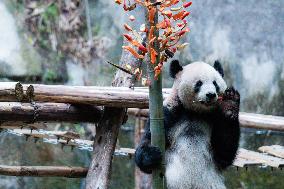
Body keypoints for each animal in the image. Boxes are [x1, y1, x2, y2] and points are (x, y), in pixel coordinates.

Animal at [135, 59, 240, 188]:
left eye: (215, 83)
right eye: (199, 83)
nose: (211, 94)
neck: (196, 112)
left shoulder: (215, 117)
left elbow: (224, 152)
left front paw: (230, 103)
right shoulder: (168, 113)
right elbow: (146, 141)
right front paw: (151, 154)